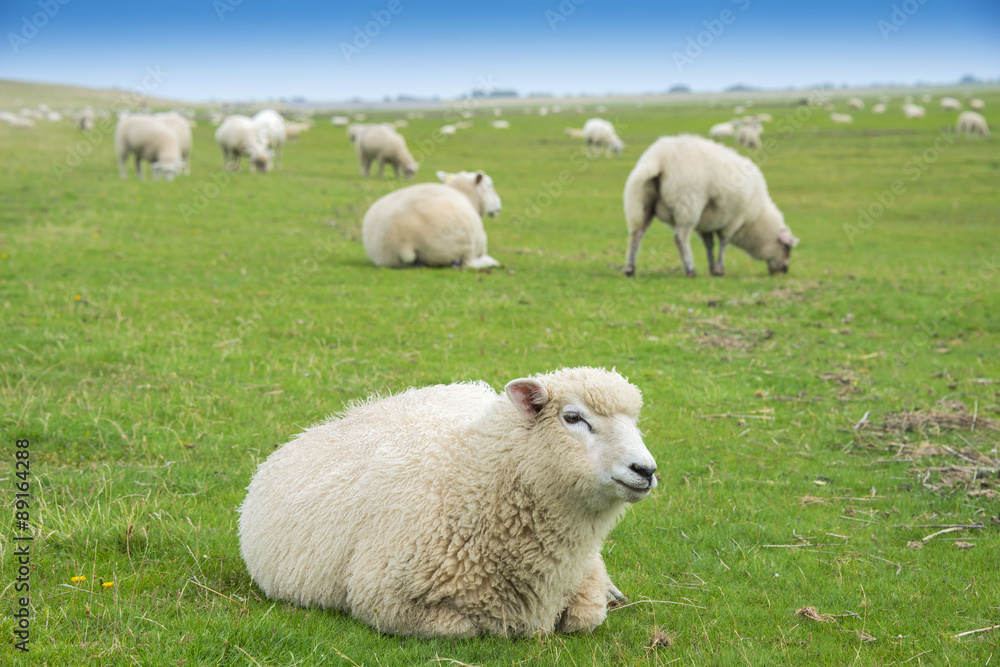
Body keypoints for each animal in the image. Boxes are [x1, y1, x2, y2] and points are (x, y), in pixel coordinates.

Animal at [238, 366, 657, 638]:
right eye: (573, 418)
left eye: (635, 422)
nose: (646, 469)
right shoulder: (387, 602)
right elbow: (466, 629)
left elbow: (587, 616)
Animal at [362, 170, 501, 268]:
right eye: (489, 185)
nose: (500, 206)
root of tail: (401, 240)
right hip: (458, 246)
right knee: (467, 263)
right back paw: (491, 262)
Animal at [623, 134, 799, 277]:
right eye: (786, 248)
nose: (784, 270)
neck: (756, 218)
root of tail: (659, 158)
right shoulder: (735, 218)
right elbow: (724, 242)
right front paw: (719, 269)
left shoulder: (705, 222)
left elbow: (709, 244)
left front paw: (712, 267)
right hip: (688, 204)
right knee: (680, 237)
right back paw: (690, 270)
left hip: (642, 199)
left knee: (636, 234)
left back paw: (630, 269)